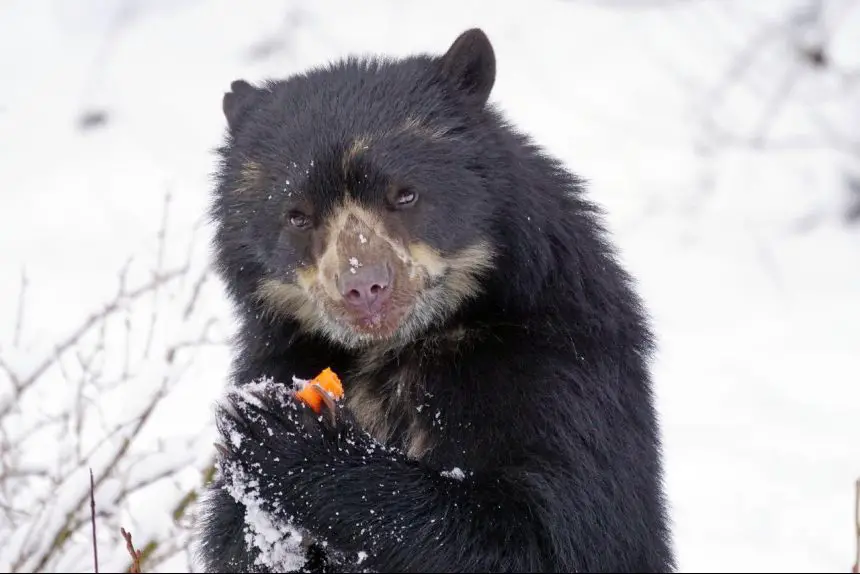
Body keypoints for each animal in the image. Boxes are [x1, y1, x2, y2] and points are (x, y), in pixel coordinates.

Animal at [193, 28, 676, 574]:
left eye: (405, 195)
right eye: (297, 215)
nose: (365, 288)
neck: (404, 347)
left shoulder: (558, 367)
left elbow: (554, 534)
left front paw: (283, 435)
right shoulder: (279, 353)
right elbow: (230, 543)